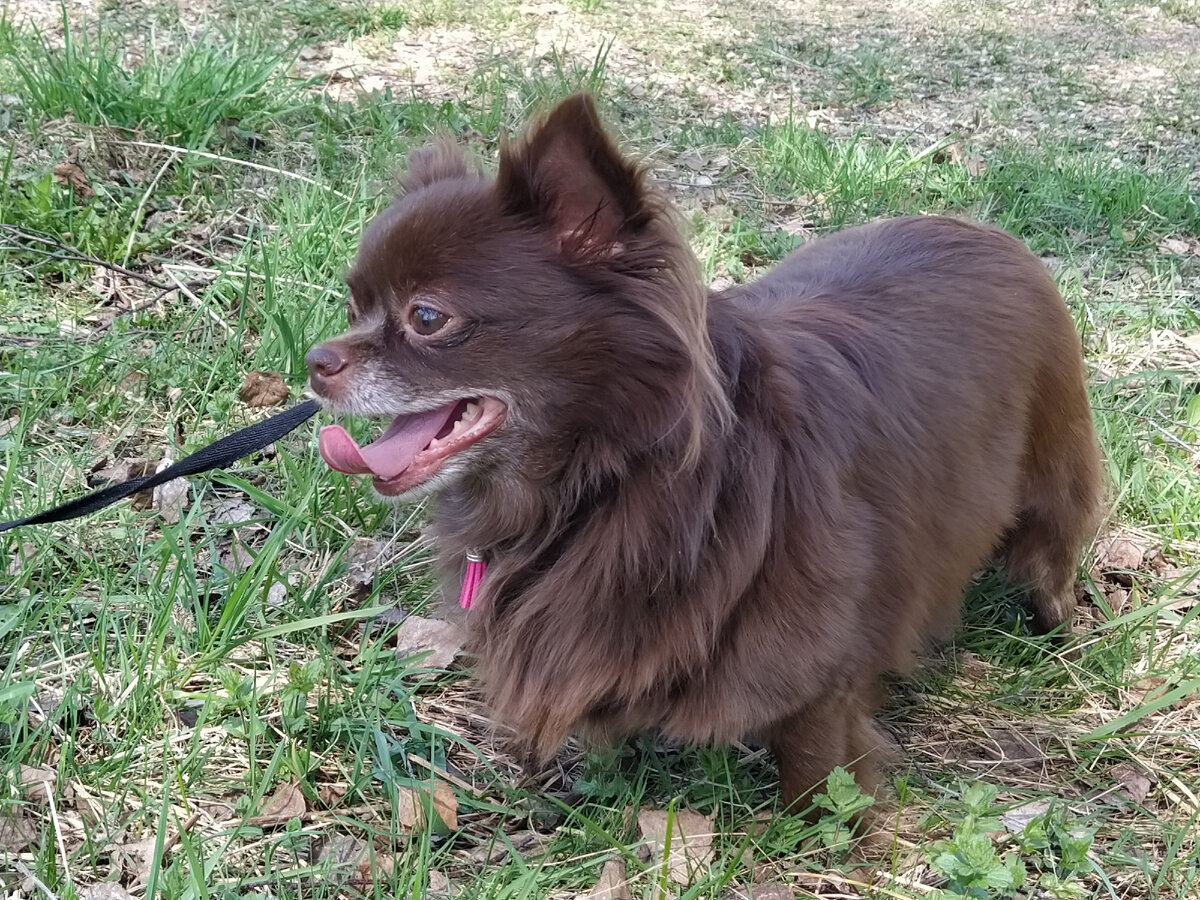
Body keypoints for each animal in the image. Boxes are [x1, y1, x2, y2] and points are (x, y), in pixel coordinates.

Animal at [304, 97, 1099, 816]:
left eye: (427, 317)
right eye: (353, 305)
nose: (315, 362)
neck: (604, 479)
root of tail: (987, 231)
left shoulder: (820, 662)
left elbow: (815, 756)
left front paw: (823, 831)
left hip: (1052, 481)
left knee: (1052, 556)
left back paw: (1058, 625)